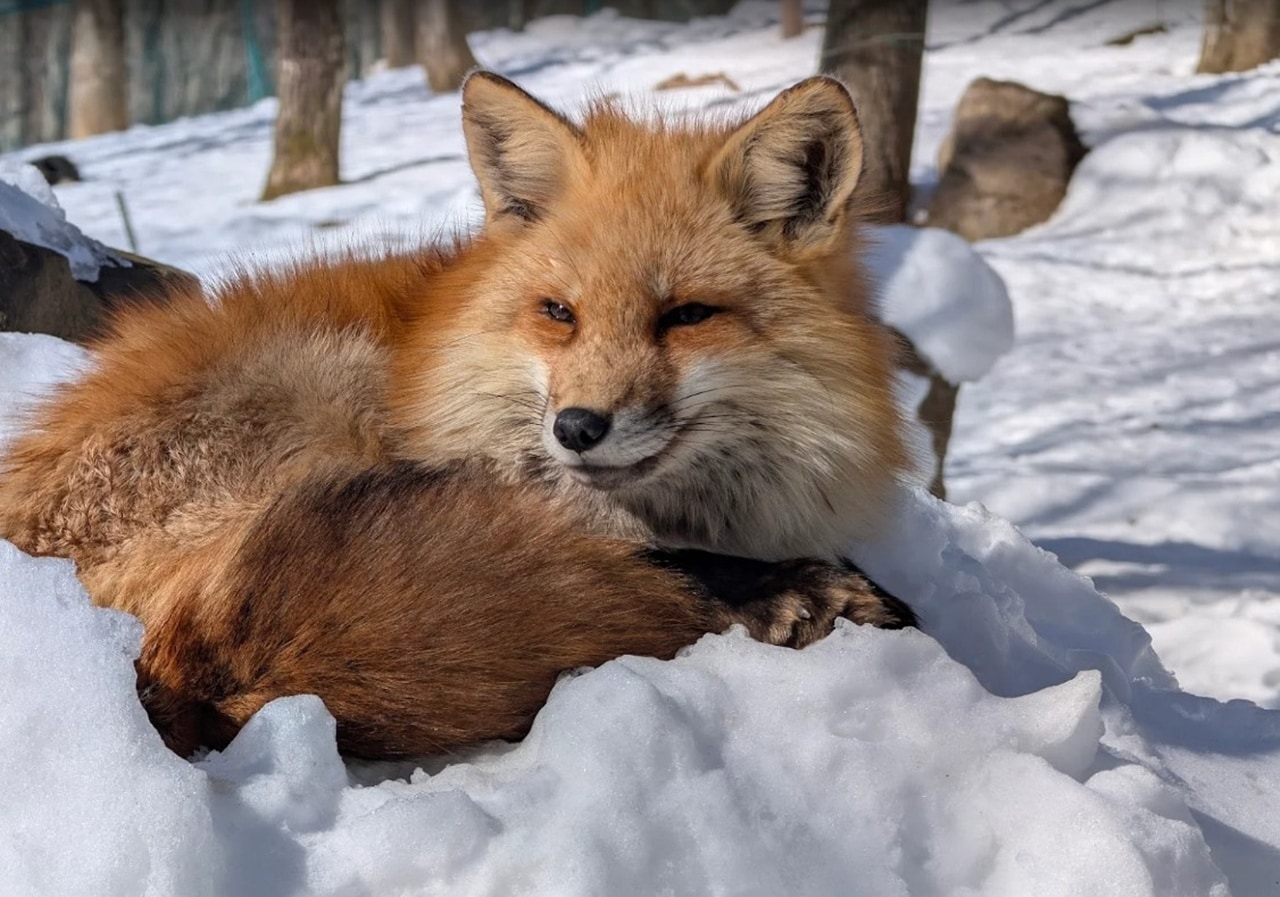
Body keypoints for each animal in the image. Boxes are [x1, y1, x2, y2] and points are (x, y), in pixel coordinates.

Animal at [0, 73, 915, 760]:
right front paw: (789, 586)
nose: (577, 427)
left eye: (687, 316)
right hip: (326, 382)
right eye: (559, 313)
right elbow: (657, 554)